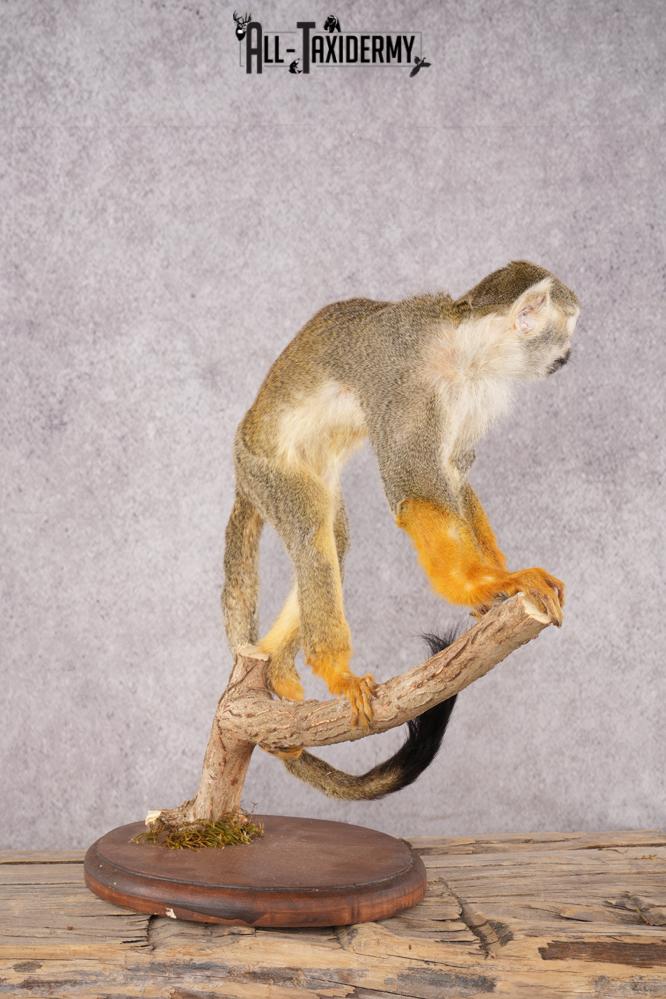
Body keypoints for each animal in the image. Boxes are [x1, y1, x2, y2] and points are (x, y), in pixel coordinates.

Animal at [221, 260, 579, 799]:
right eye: (570, 326)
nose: (569, 354)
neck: (464, 350)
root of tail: (241, 469)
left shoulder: (475, 391)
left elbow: (454, 474)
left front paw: (497, 585)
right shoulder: (408, 380)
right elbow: (415, 486)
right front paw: (489, 583)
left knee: (333, 538)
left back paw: (277, 666)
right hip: (267, 470)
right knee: (312, 536)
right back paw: (333, 670)